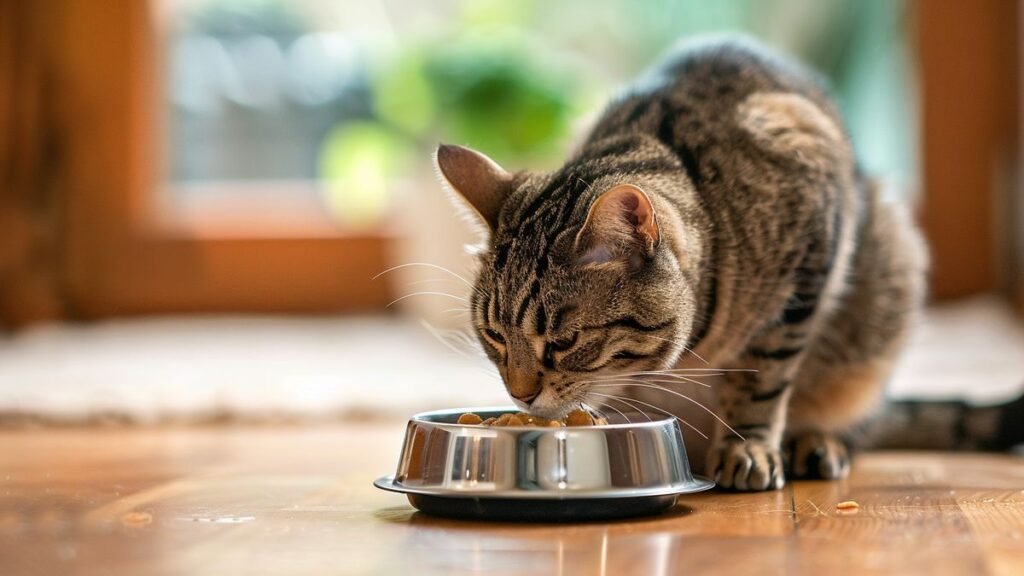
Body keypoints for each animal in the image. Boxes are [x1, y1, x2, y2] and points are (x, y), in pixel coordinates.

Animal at [434, 35, 1024, 487]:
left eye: (564, 342)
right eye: (493, 337)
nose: (519, 393)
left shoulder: (809, 248)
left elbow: (764, 376)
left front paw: (749, 447)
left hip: (885, 289)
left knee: (852, 416)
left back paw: (816, 442)